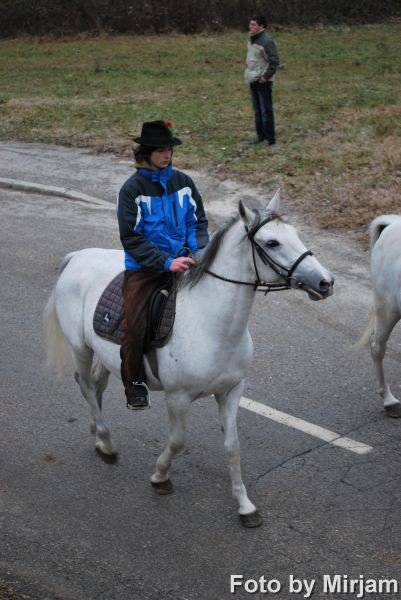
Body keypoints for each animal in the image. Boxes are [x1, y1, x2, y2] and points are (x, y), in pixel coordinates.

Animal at [43, 190, 334, 528]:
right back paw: (108, 443)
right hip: (80, 347)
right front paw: (160, 476)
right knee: (87, 386)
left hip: (105, 351)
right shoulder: (178, 397)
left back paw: (99, 437)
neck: (213, 325)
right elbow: (178, 441)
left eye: (296, 234)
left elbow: (233, 447)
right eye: (272, 242)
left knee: (98, 385)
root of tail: (78, 256)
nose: (326, 282)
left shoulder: (231, 392)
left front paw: (245, 505)